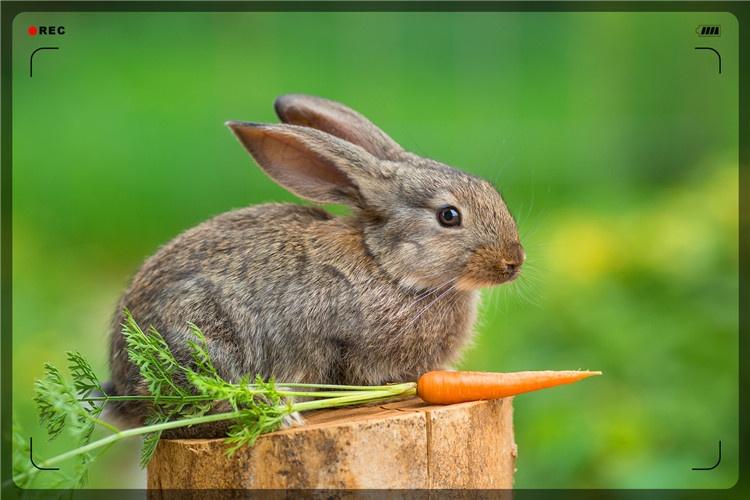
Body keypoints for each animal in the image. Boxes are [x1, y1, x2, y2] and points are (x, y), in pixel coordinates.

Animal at [108, 95, 524, 436]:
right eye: (449, 216)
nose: (514, 261)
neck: (388, 267)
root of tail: (123, 389)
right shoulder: (339, 343)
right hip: (200, 338)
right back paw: (279, 414)